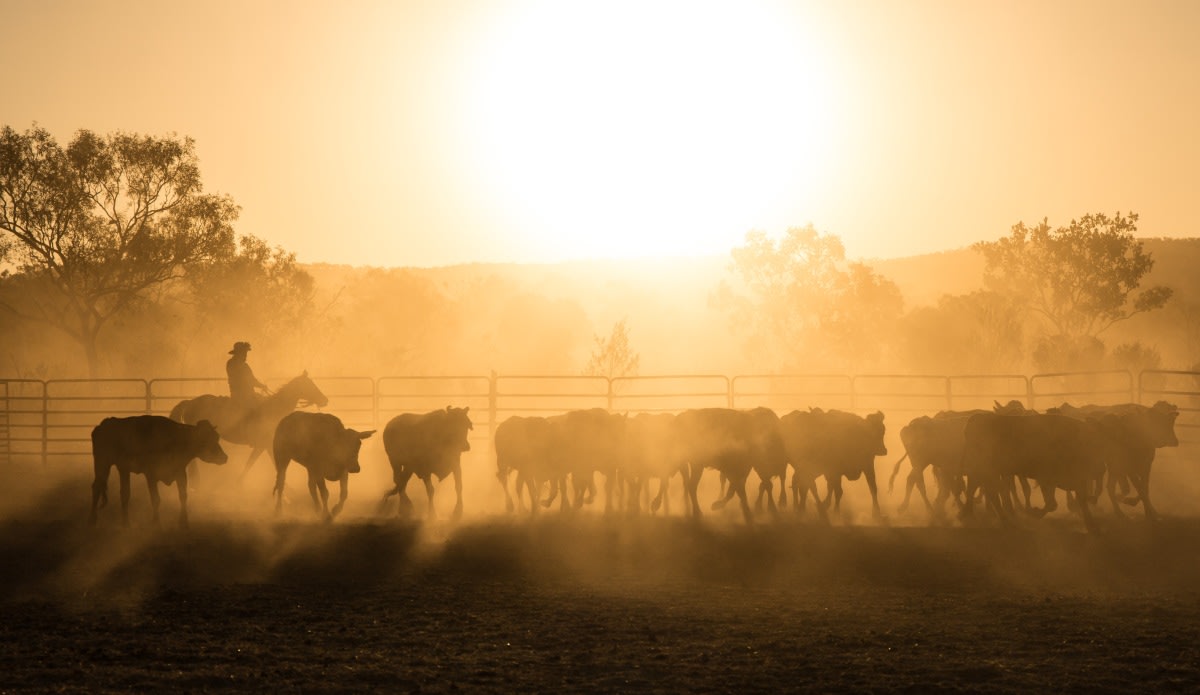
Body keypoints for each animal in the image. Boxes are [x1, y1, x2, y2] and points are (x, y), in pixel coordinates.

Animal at [90, 415, 228, 528]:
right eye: (206, 439)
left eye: (217, 437)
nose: (224, 457)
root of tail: (105, 423)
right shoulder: (151, 475)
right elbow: (156, 499)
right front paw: (156, 523)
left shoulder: (180, 472)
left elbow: (183, 496)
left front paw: (183, 522)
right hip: (102, 463)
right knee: (96, 487)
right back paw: (93, 520)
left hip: (123, 468)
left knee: (124, 493)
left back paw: (125, 523)